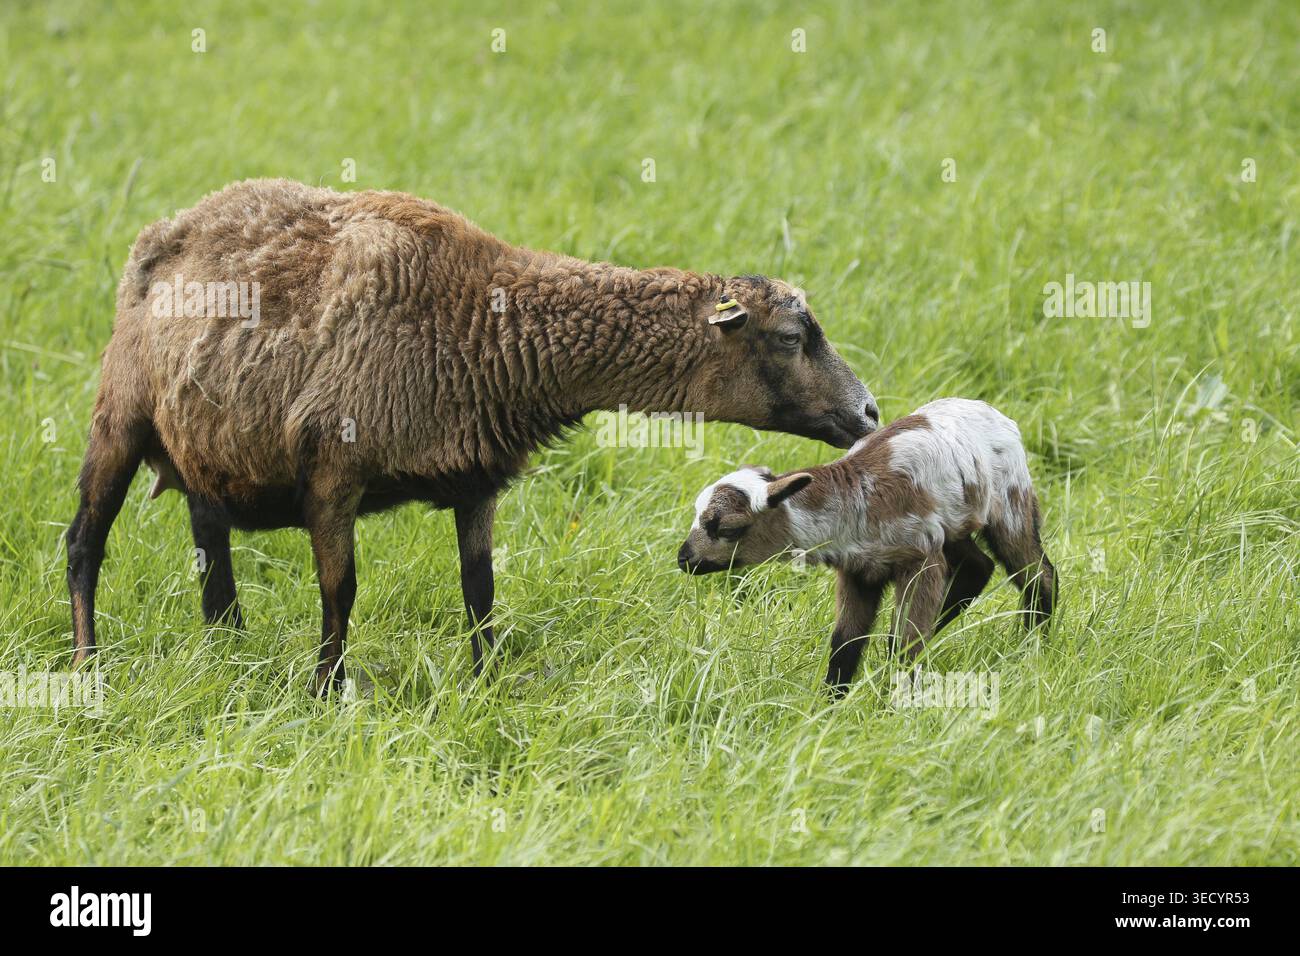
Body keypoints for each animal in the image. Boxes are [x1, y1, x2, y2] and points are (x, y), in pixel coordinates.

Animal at [66, 178, 879, 694]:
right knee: (84, 544)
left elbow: (480, 591)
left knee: (210, 546)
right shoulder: (332, 471)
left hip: (205, 448)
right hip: (120, 414)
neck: (488, 327)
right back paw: (86, 670)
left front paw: (486, 687)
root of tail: (172, 225)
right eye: (791, 337)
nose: (870, 413)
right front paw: (325, 693)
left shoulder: (478, 479)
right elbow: (340, 590)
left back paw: (226, 650)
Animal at [677, 398, 1057, 694]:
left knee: (1039, 573)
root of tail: (997, 415)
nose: (685, 559)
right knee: (979, 567)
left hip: (1010, 505)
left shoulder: (921, 562)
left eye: (727, 527)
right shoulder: (859, 572)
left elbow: (904, 643)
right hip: (954, 528)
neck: (860, 495)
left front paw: (898, 703)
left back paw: (1035, 646)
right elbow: (845, 644)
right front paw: (829, 706)